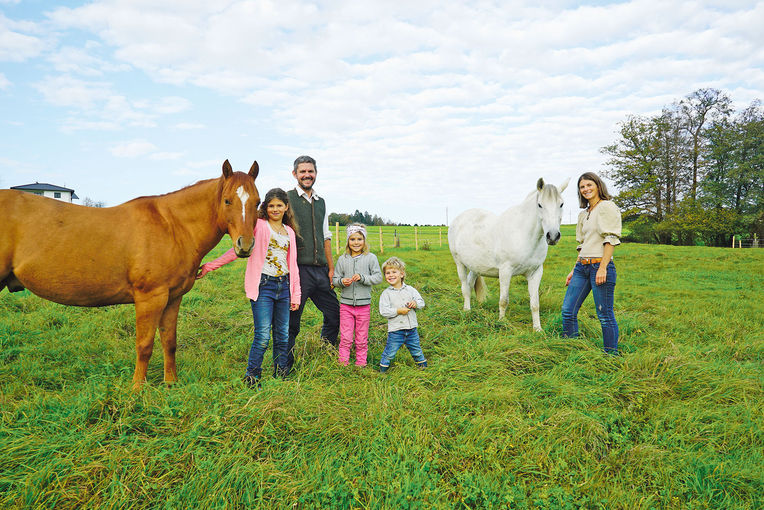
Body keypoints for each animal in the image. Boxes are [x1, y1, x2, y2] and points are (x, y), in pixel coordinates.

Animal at [0, 161, 260, 388]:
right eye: (227, 200)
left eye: (257, 202)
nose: (245, 245)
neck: (171, 226)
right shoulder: (150, 299)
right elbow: (144, 345)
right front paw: (137, 389)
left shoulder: (173, 298)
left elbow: (169, 342)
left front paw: (171, 383)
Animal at [450, 178, 572, 330]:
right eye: (540, 205)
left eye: (561, 204)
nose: (553, 236)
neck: (523, 234)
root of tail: (458, 219)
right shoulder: (505, 271)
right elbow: (503, 300)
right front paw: (502, 323)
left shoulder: (535, 273)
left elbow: (535, 304)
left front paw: (537, 329)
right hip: (459, 263)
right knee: (465, 287)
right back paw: (467, 311)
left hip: (475, 266)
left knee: (470, 283)